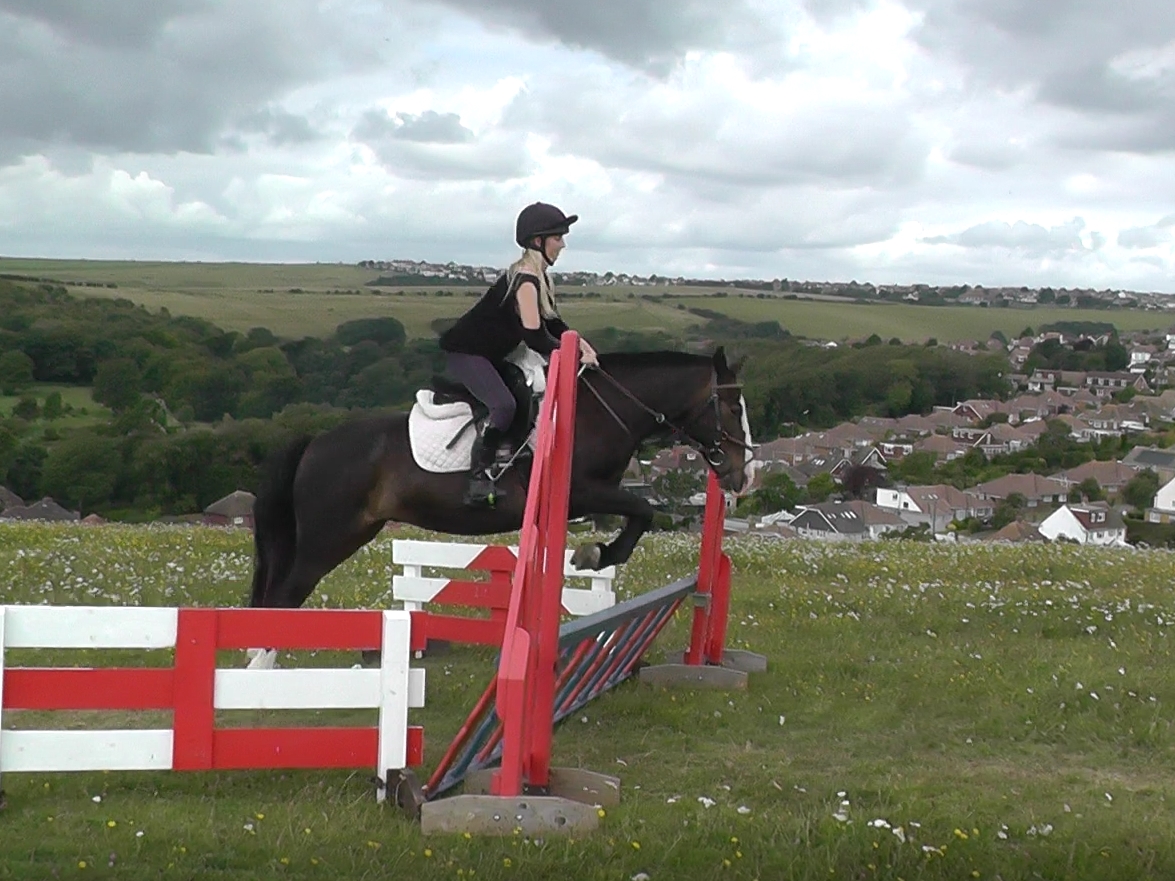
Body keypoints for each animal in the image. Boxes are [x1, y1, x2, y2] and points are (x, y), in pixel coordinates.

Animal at [247, 347, 754, 613]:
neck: (598, 411)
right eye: (732, 409)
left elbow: (639, 513)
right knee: (283, 597)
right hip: (328, 537)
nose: (743, 473)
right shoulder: (582, 491)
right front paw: (596, 554)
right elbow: (644, 510)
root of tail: (314, 442)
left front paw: (596, 552)